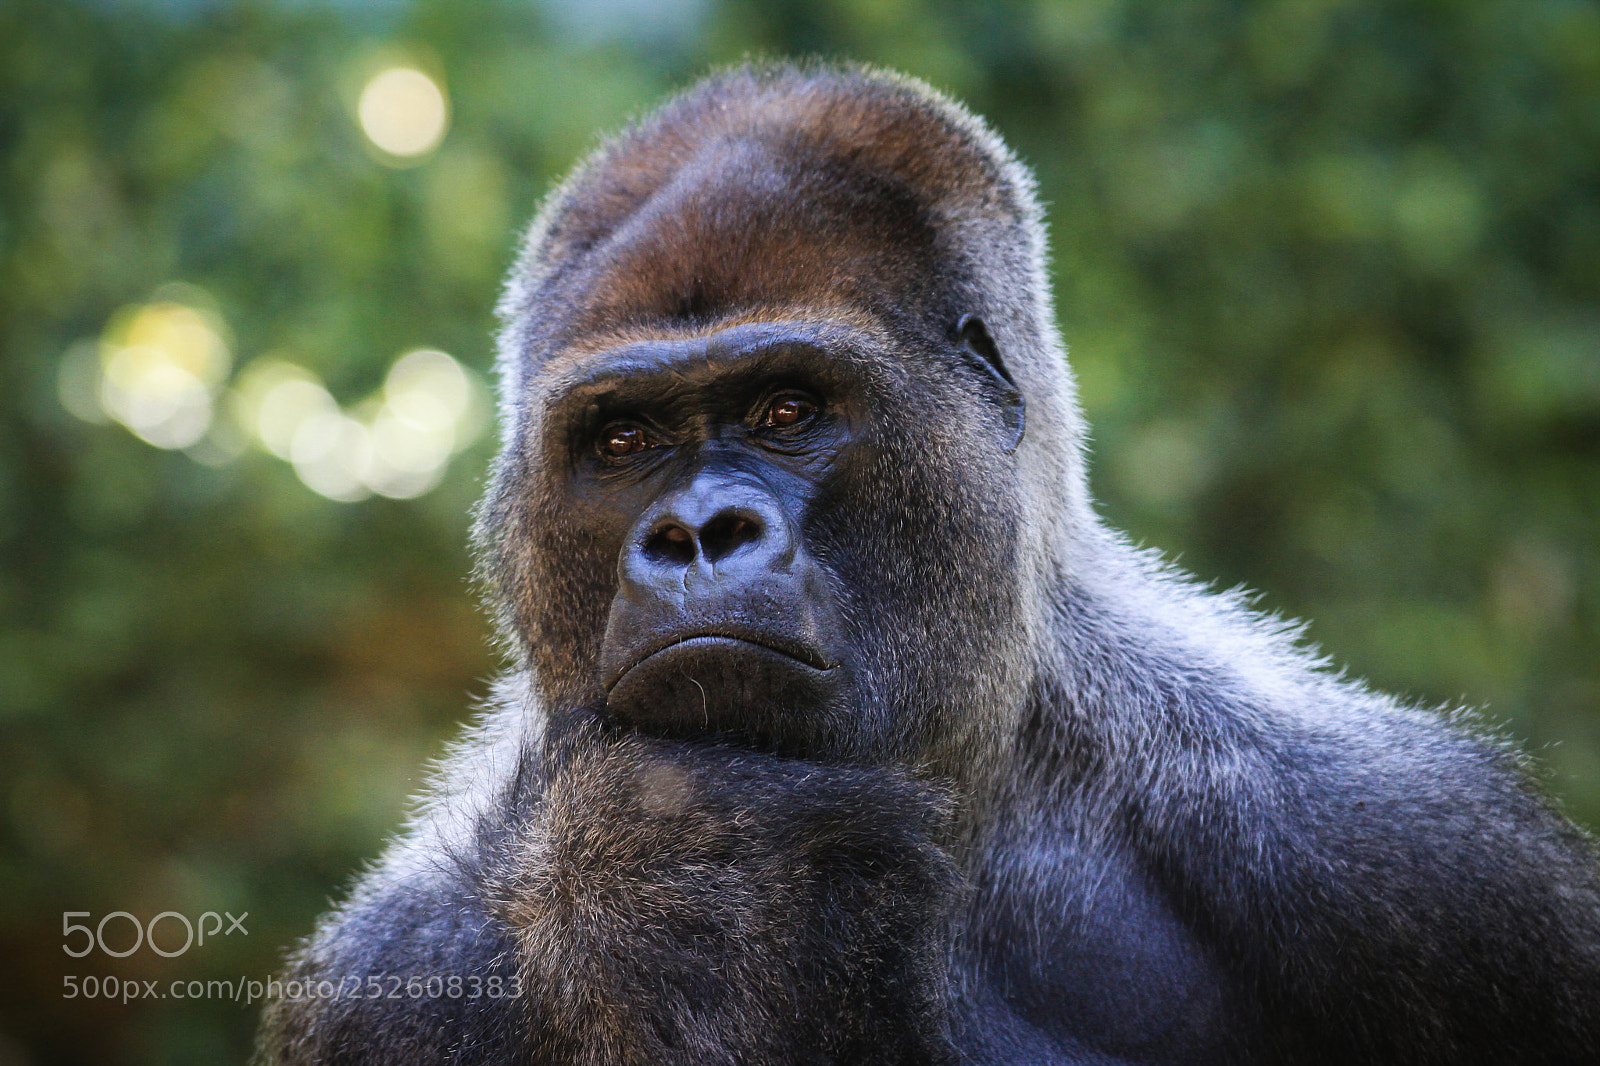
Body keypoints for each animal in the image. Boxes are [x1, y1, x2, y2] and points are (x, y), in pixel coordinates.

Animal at [258, 61, 1600, 1065]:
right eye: (623, 439)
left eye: (790, 410)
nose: (695, 534)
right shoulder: (387, 976)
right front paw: (667, 883)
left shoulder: (1428, 857)